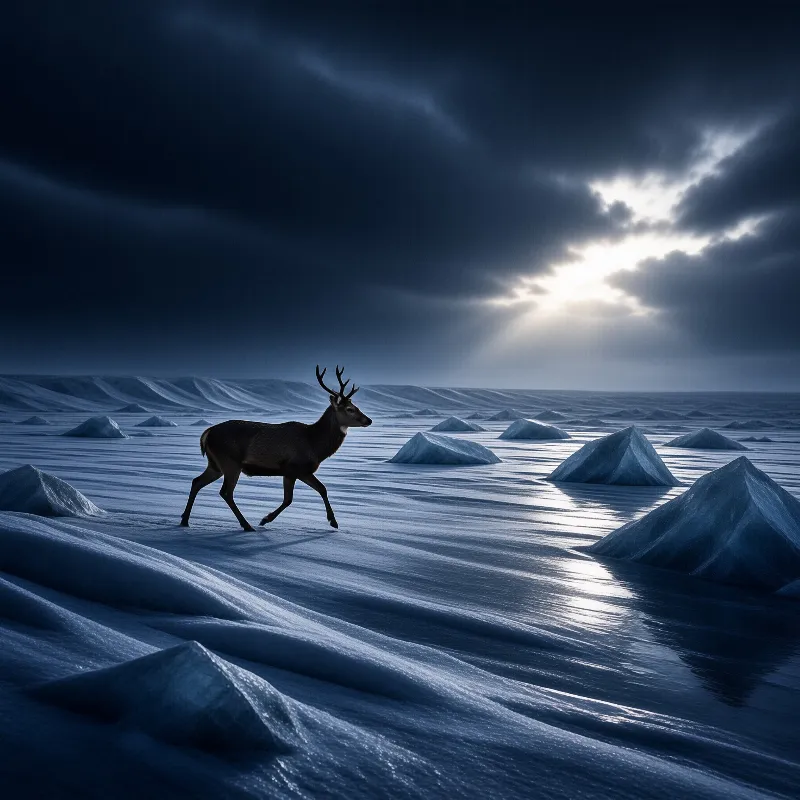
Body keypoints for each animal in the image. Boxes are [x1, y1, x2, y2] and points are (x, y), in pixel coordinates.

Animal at [180, 366, 372, 532]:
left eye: (357, 406)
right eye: (350, 409)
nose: (368, 420)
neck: (314, 444)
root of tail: (207, 433)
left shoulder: (301, 471)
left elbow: (321, 489)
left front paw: (333, 521)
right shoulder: (293, 467)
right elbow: (290, 499)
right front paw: (265, 519)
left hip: (215, 464)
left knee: (196, 481)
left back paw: (184, 520)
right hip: (230, 462)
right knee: (226, 492)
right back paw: (247, 525)